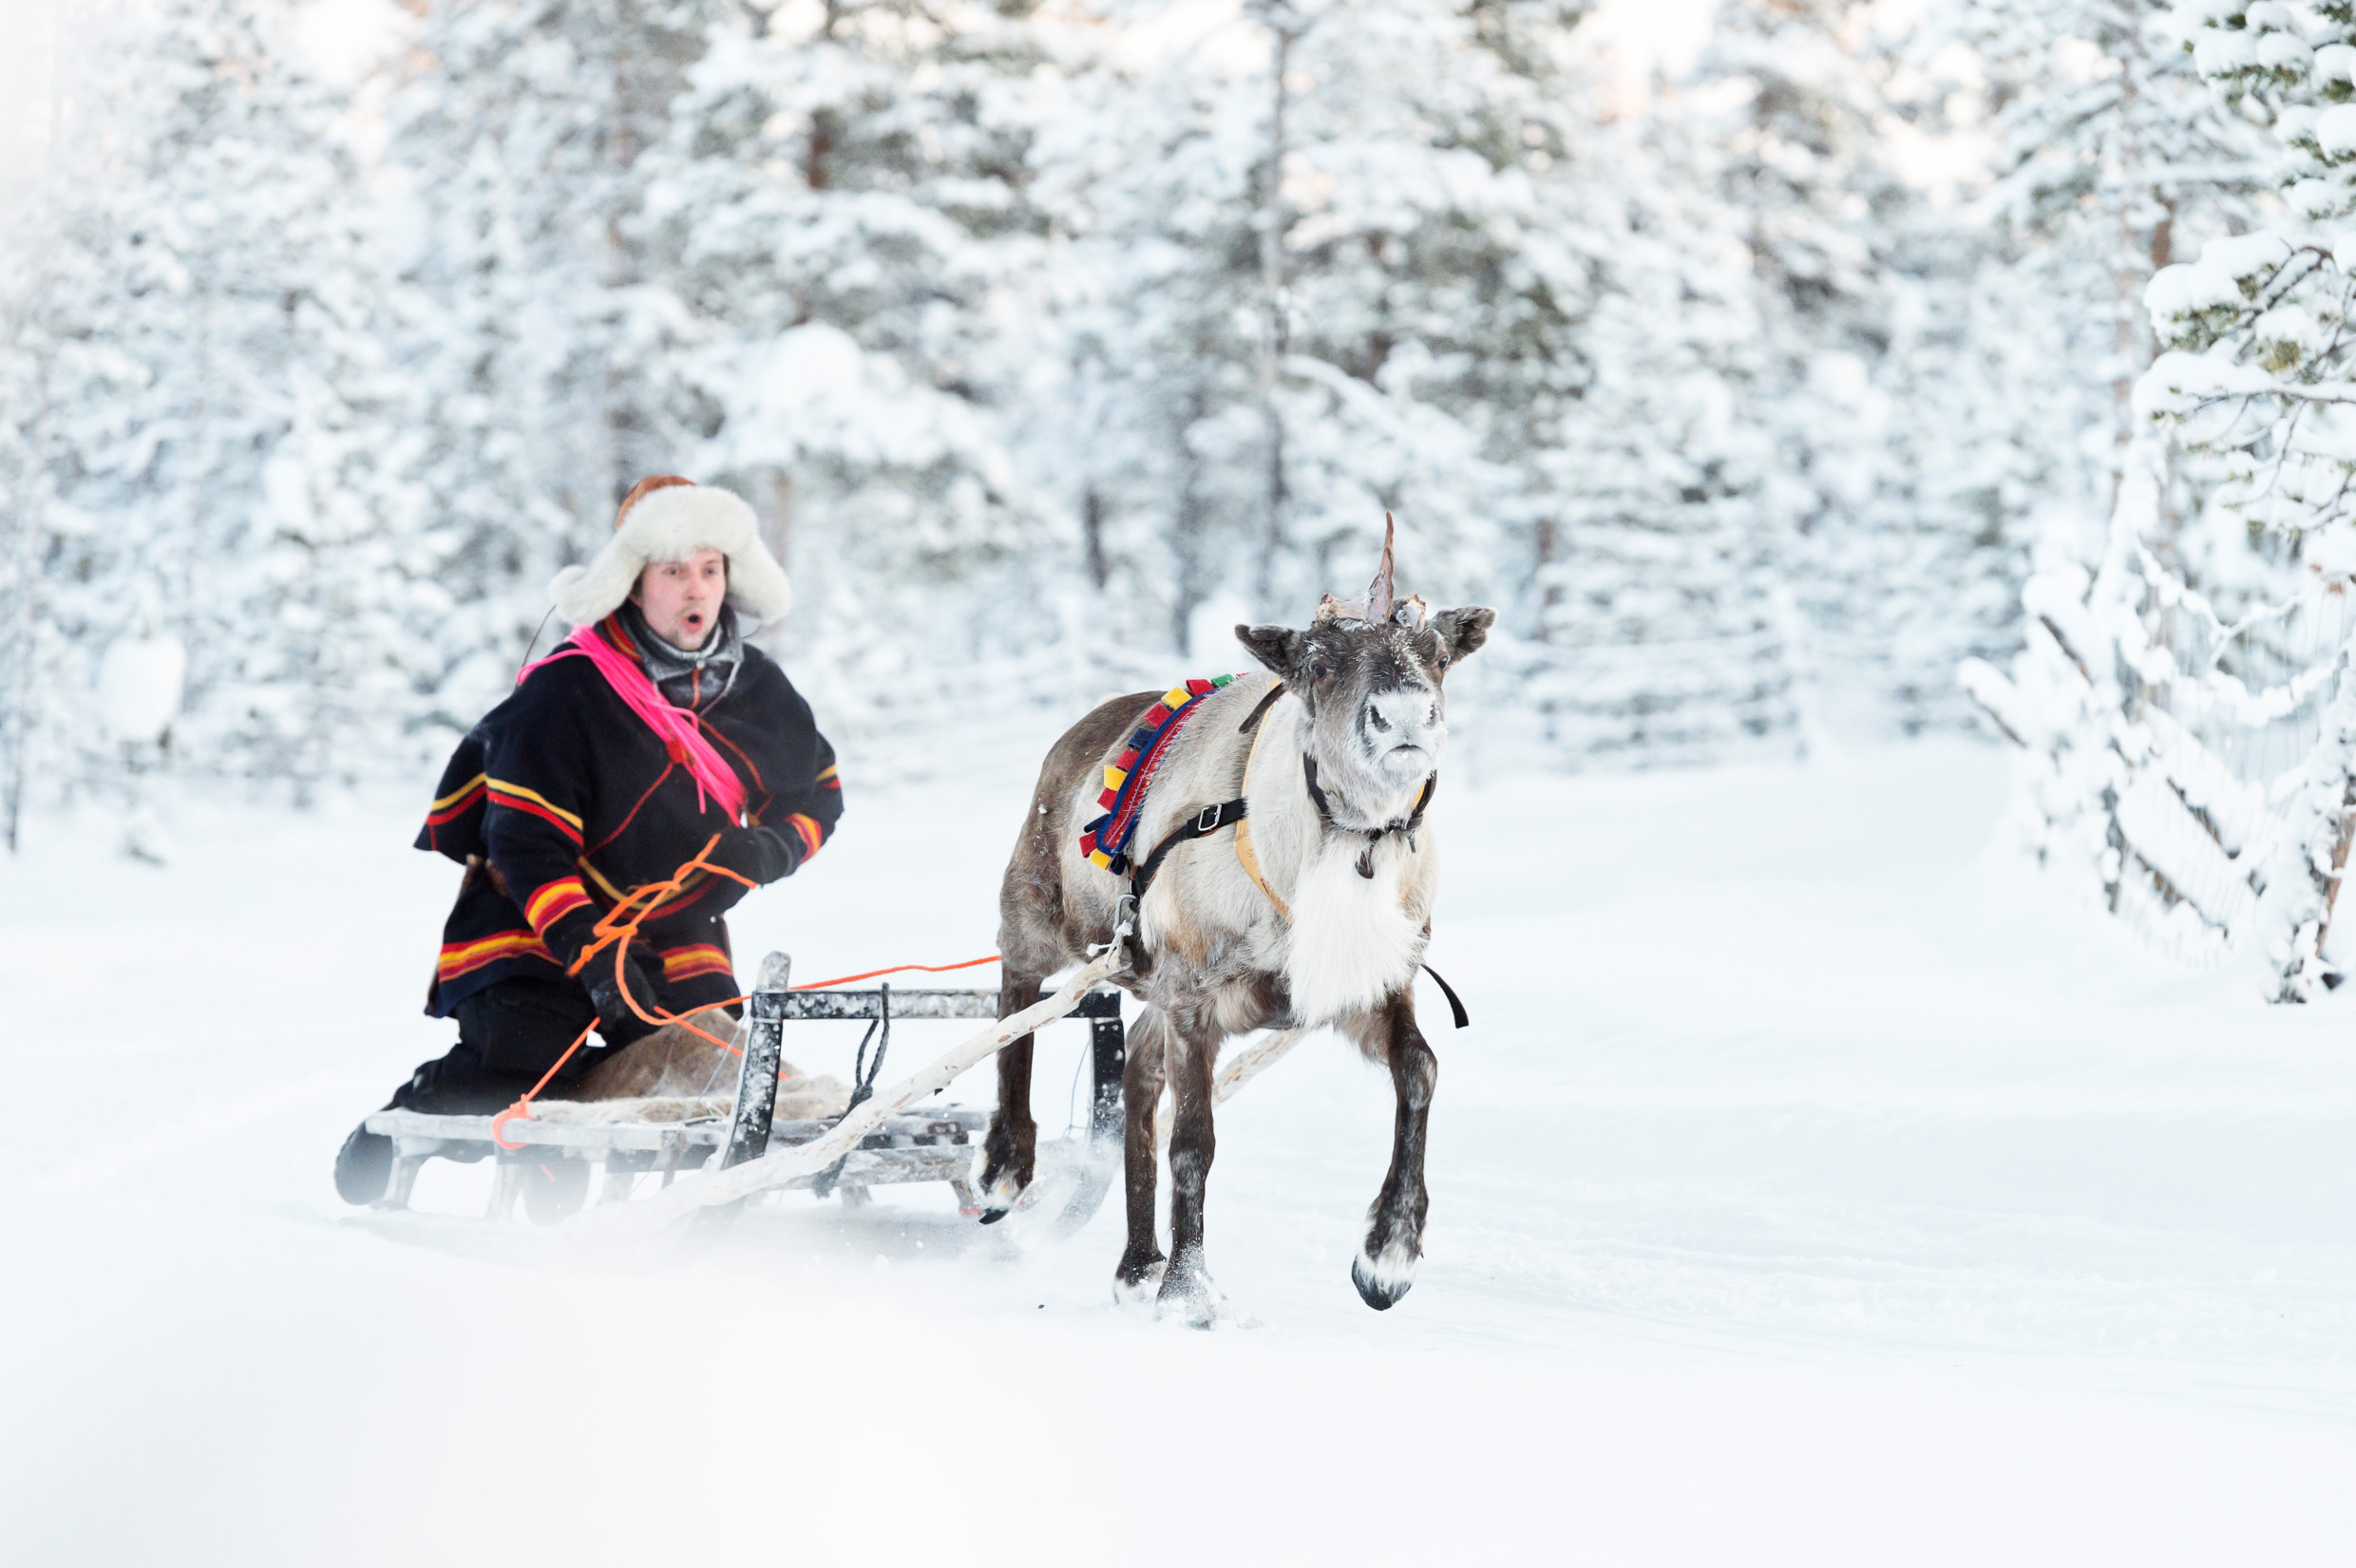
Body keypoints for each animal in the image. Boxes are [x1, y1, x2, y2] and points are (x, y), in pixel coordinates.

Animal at [977, 523, 1494, 1321]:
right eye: (1317, 663)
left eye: (1437, 655)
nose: (1405, 718)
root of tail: (1080, 731)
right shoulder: (1197, 996)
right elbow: (1194, 1141)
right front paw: (1190, 1290)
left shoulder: (1369, 988)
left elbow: (1420, 1071)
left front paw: (1387, 1258)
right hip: (1045, 911)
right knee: (1017, 997)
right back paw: (1009, 1163)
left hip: (1149, 985)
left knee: (1134, 1074)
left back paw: (1137, 1262)